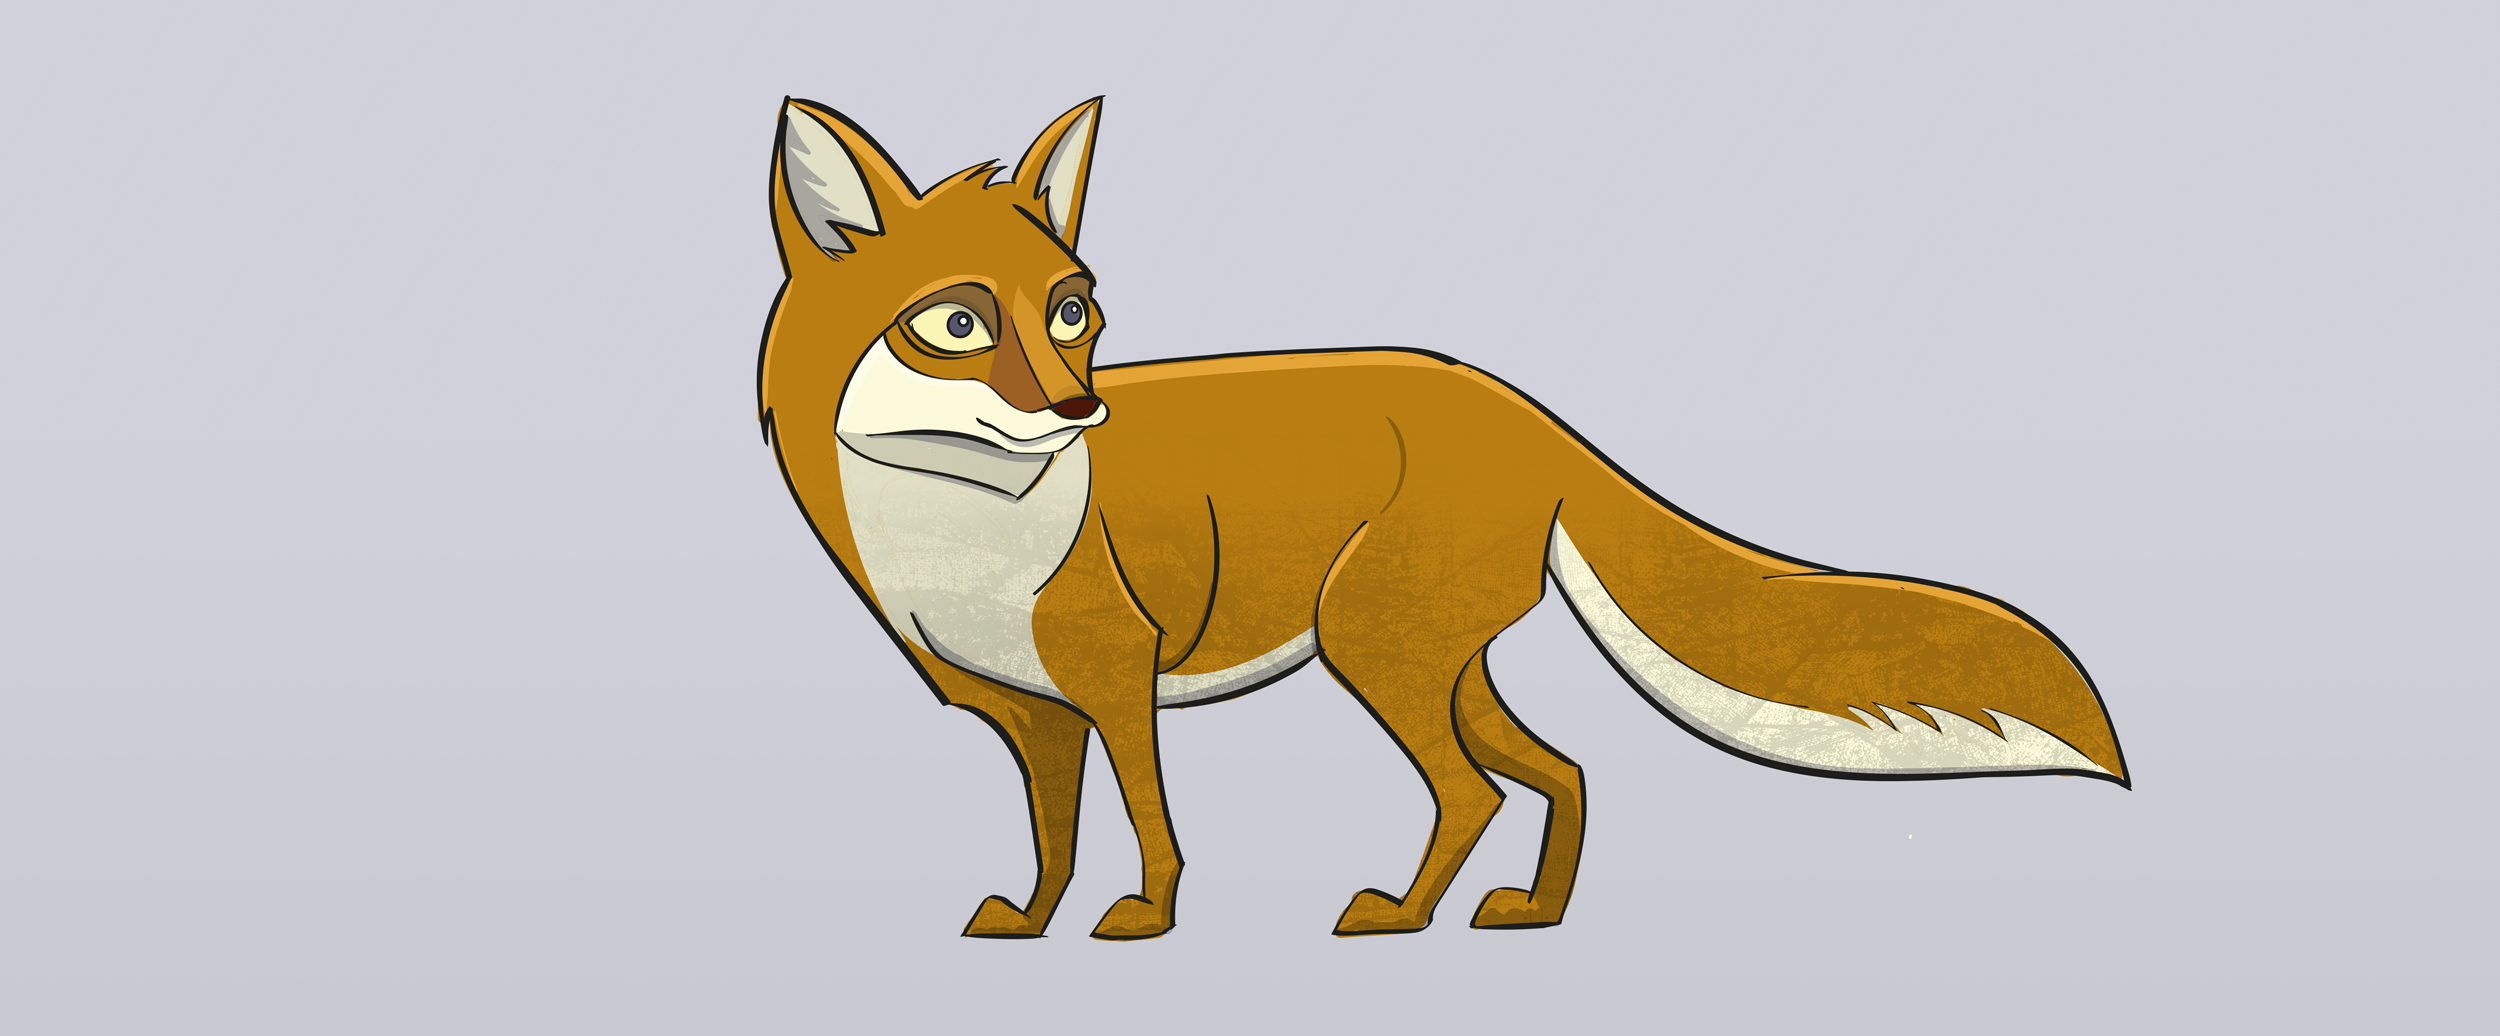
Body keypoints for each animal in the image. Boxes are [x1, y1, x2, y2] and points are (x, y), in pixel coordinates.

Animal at [755, 97, 2128, 941]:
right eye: (957, 324)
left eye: (1072, 310)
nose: (1078, 406)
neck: (958, 532)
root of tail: (1520, 405)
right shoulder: (1031, 713)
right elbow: (1052, 837)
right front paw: (1033, 925)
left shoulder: (1116, 675)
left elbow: (1147, 823)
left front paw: (1143, 923)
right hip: (1427, 659)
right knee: (1561, 771)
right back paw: (1529, 914)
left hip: (1380, 651)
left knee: (1473, 794)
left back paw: (1407, 916)